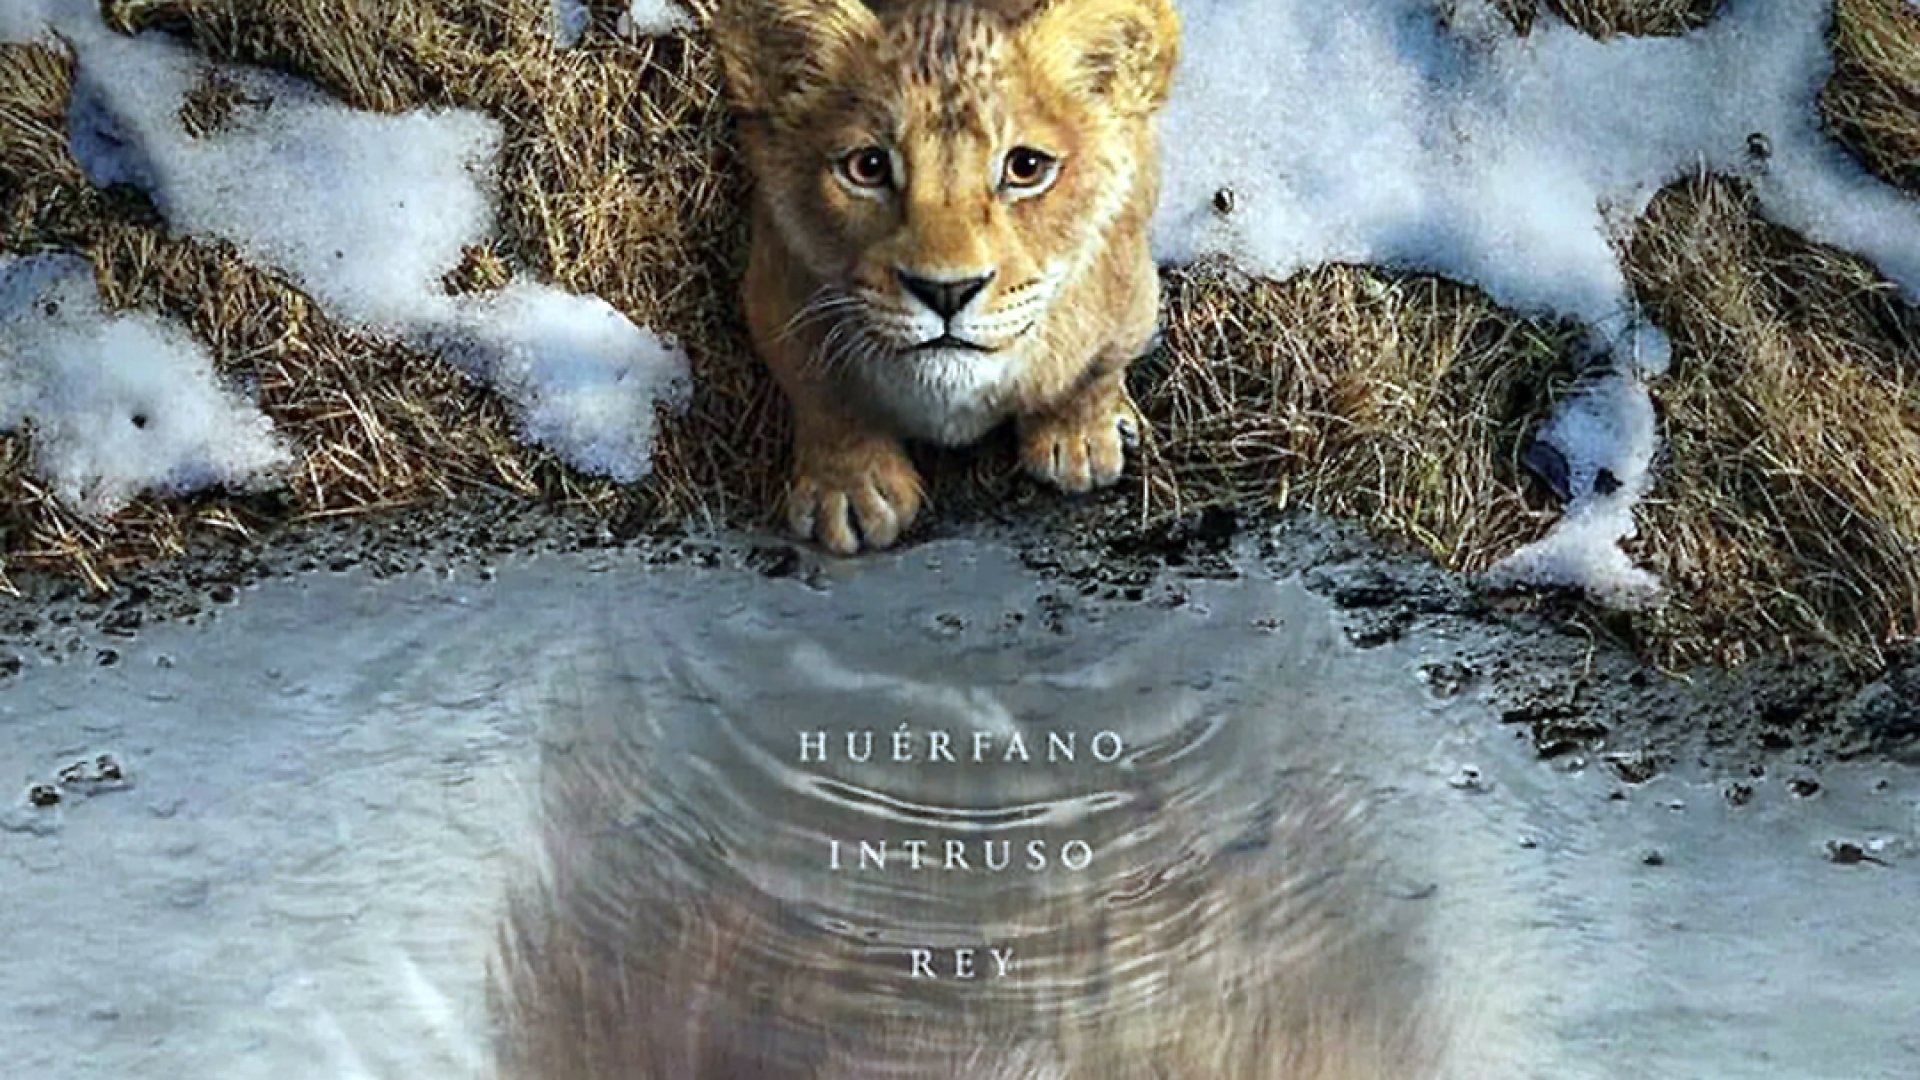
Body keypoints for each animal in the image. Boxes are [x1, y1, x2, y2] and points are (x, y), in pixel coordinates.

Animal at [713, 0, 1182, 554]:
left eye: (1026, 167)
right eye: (867, 166)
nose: (946, 291)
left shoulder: (1132, 290)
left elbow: (1095, 370)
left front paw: (1081, 439)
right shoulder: (774, 290)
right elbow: (823, 394)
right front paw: (849, 490)